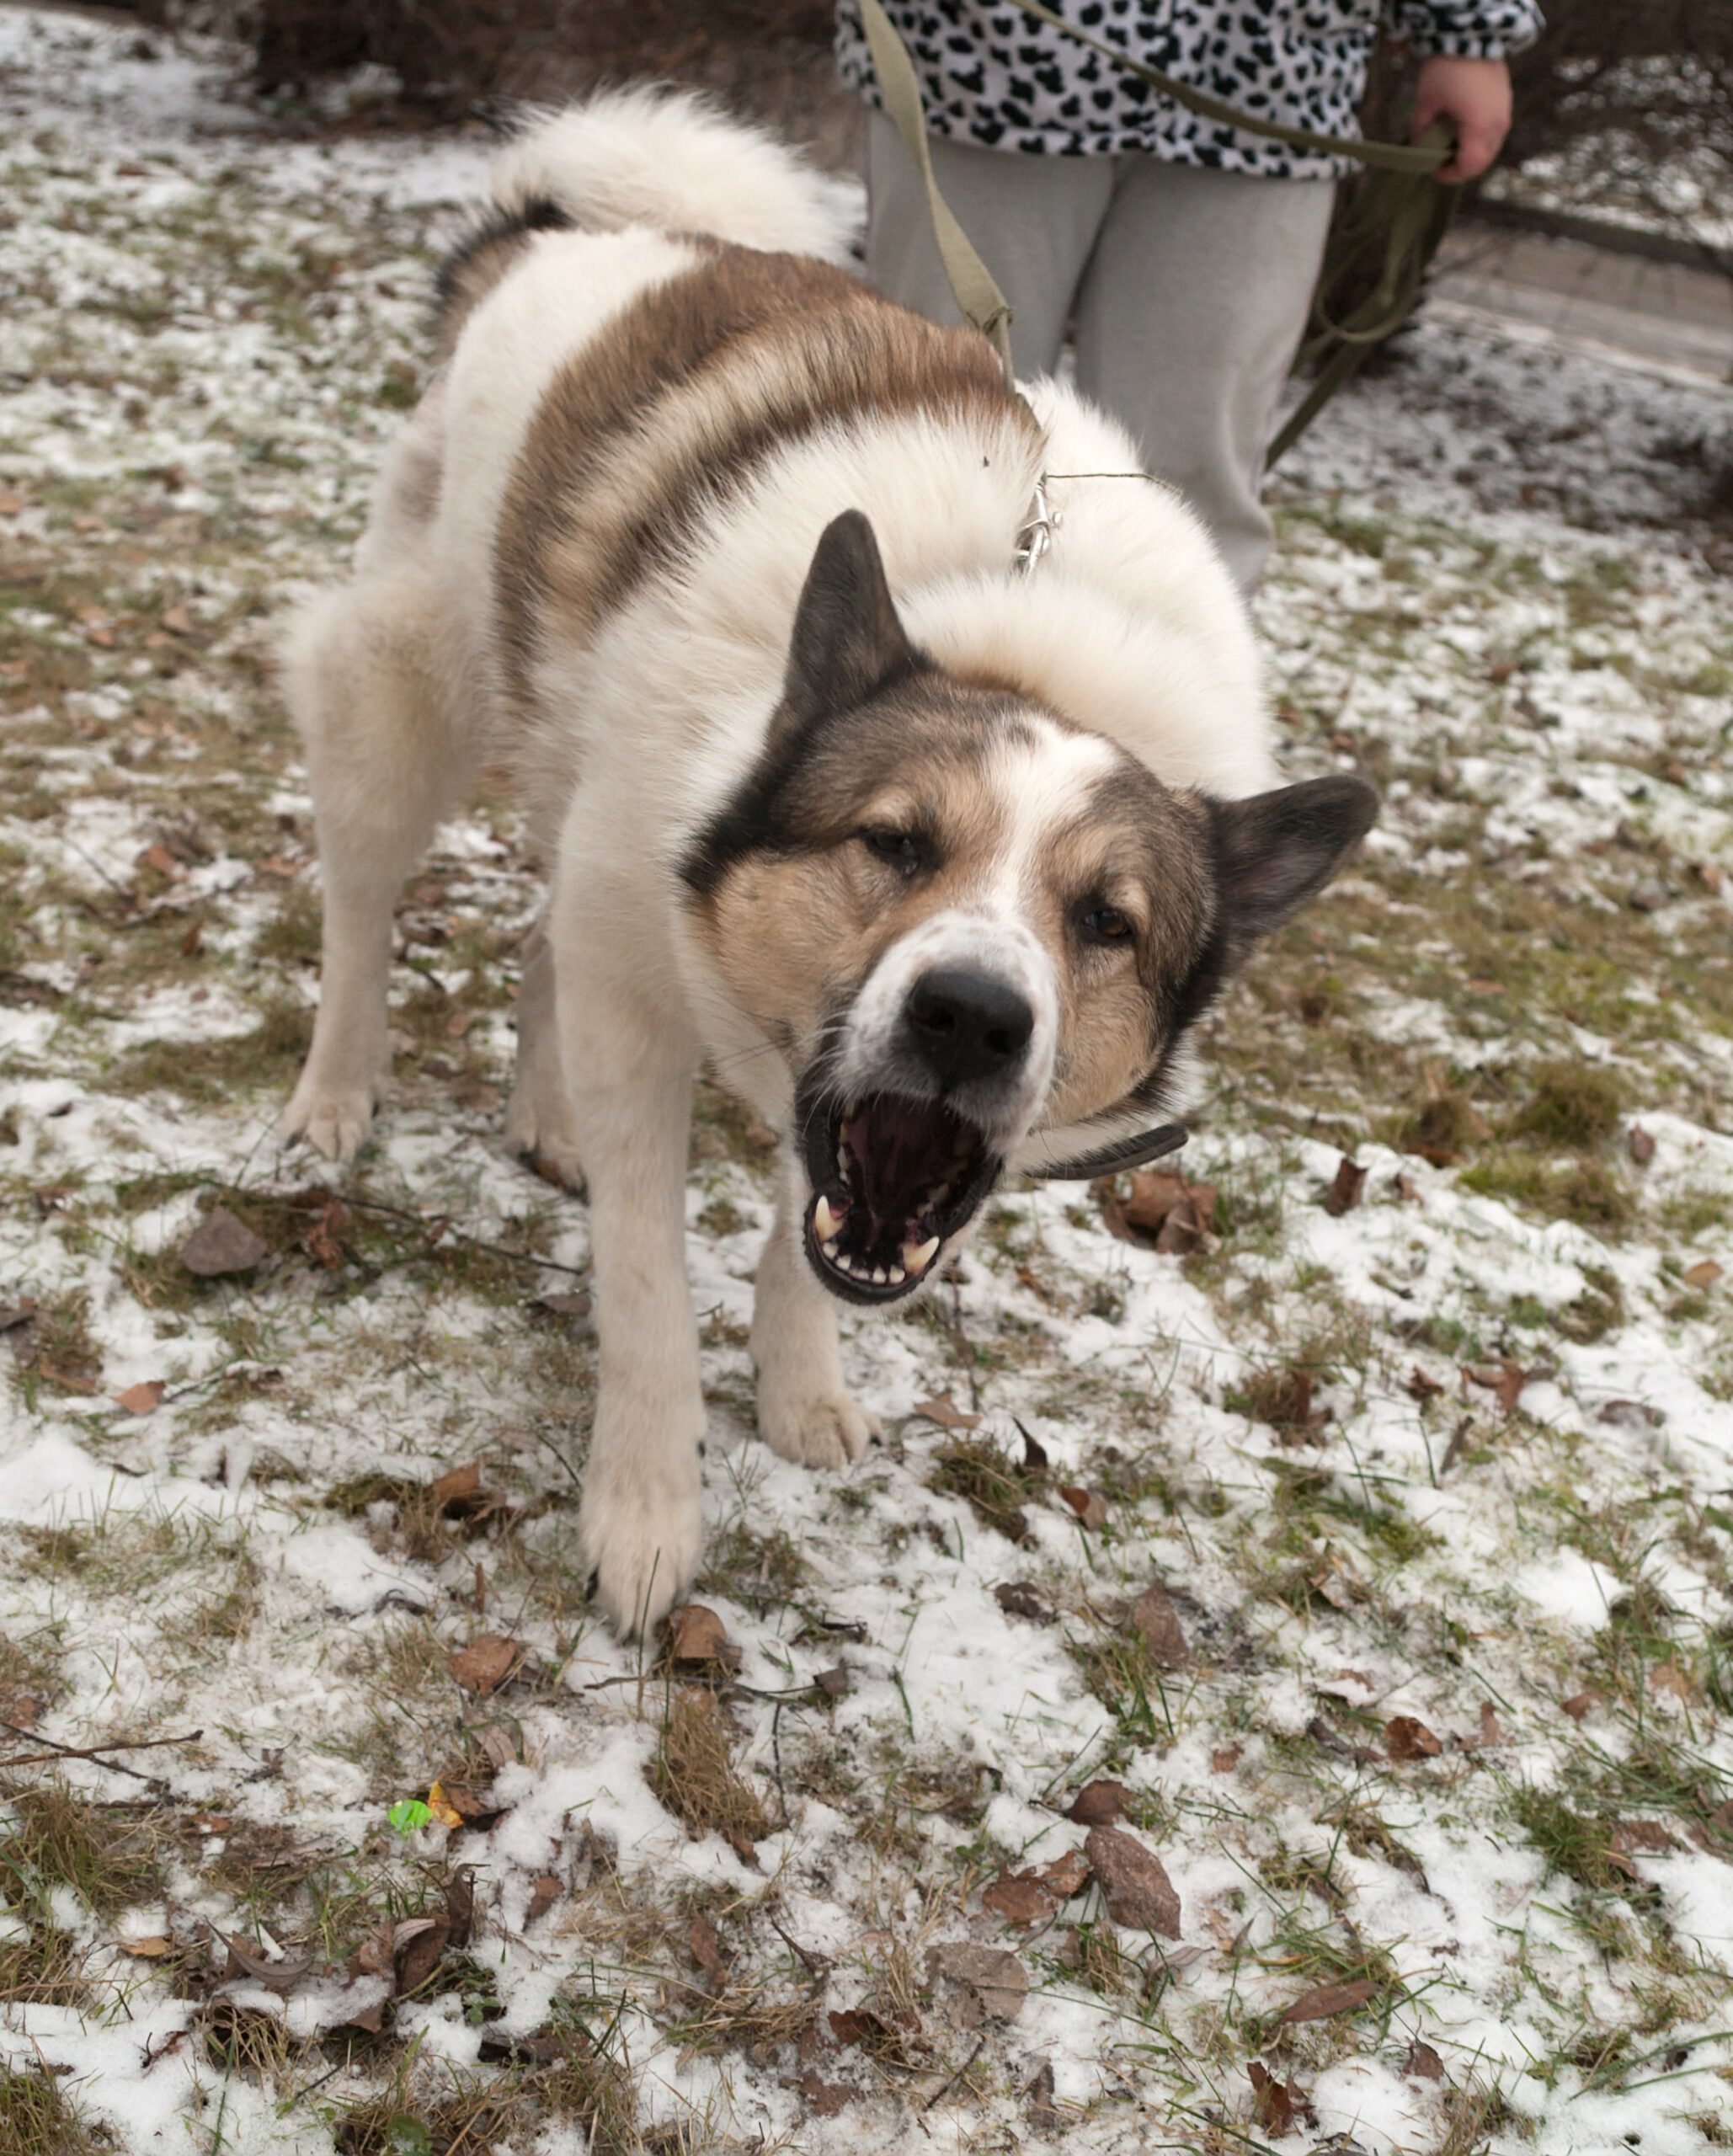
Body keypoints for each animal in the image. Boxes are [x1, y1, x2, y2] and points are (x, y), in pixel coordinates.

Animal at [278, 88, 1370, 1630]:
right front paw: (645, 1511)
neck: (1016, 634)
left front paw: (797, 1393)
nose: (970, 1018)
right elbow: (646, 1292)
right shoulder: (656, 1006)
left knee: (550, 926)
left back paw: (543, 1117)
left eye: (1105, 919)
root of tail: (573, 234)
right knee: (368, 900)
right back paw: (333, 1097)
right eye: (893, 841)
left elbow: (806, 1239)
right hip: (413, 691)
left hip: (580, 777)